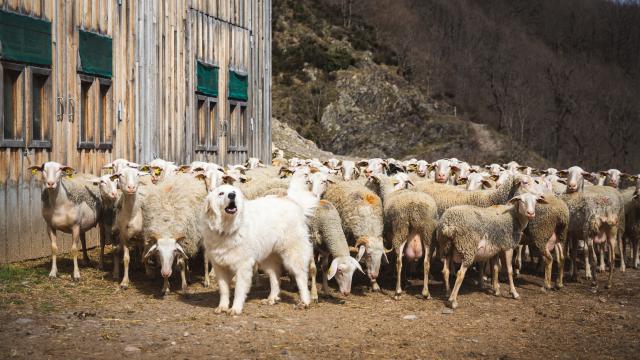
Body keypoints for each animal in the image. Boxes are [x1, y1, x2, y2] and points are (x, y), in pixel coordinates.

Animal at [201, 184, 316, 314]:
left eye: (234, 192)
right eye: (221, 193)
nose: (232, 195)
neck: (227, 229)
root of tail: (293, 202)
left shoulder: (243, 266)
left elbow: (239, 290)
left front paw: (235, 309)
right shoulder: (220, 267)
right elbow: (224, 290)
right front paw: (222, 307)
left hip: (293, 254)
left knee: (301, 276)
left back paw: (305, 302)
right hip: (269, 258)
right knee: (275, 276)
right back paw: (272, 299)